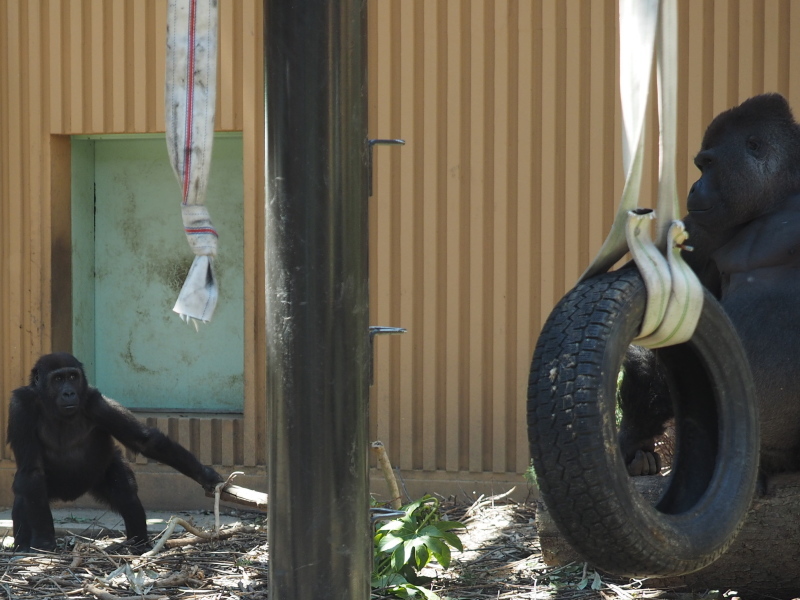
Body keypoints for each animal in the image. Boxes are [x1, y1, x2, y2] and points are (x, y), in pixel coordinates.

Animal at [7, 352, 225, 552]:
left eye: (72, 377)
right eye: (58, 379)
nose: (69, 393)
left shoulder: (97, 403)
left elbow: (145, 441)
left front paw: (204, 474)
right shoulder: (21, 407)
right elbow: (32, 472)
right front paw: (44, 542)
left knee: (125, 491)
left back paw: (139, 543)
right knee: (23, 495)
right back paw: (22, 547)